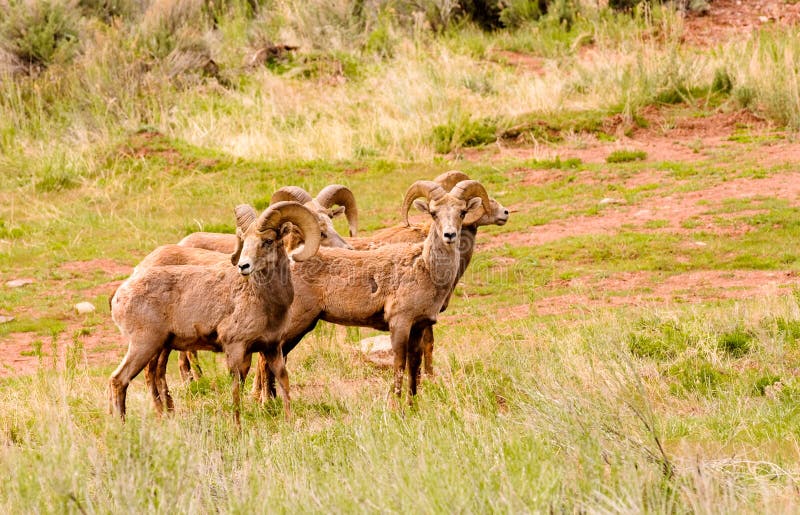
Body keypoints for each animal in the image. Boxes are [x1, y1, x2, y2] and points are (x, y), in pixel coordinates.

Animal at [108, 202, 320, 424]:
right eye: (245, 241)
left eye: (268, 241)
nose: (243, 266)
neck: (266, 302)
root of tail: (119, 295)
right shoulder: (235, 348)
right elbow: (236, 390)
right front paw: (237, 427)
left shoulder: (272, 348)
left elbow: (282, 380)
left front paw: (289, 421)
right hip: (144, 345)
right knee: (119, 380)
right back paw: (123, 425)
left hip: (157, 347)